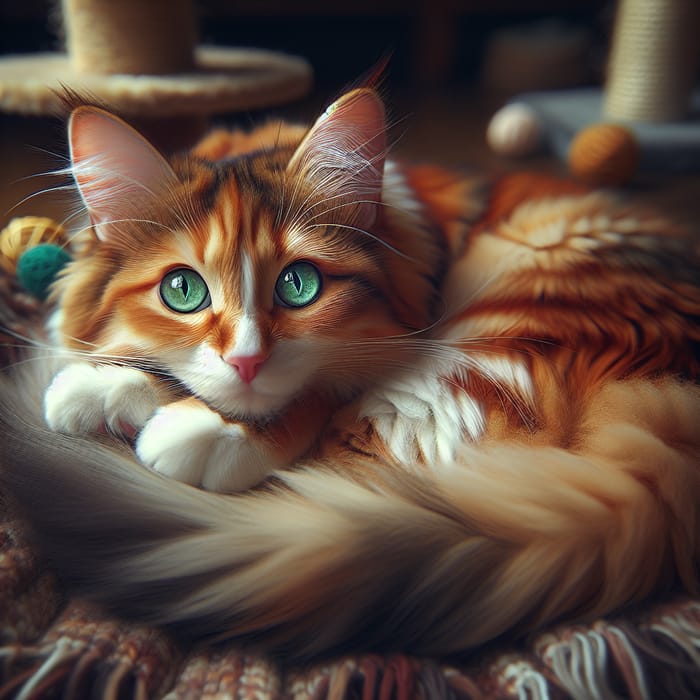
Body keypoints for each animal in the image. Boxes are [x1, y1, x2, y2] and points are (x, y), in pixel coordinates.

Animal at [1, 87, 700, 660]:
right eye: (182, 290)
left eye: (299, 285)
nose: (247, 360)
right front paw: (100, 385)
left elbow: (311, 394)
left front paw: (195, 427)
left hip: (506, 327)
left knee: (344, 453)